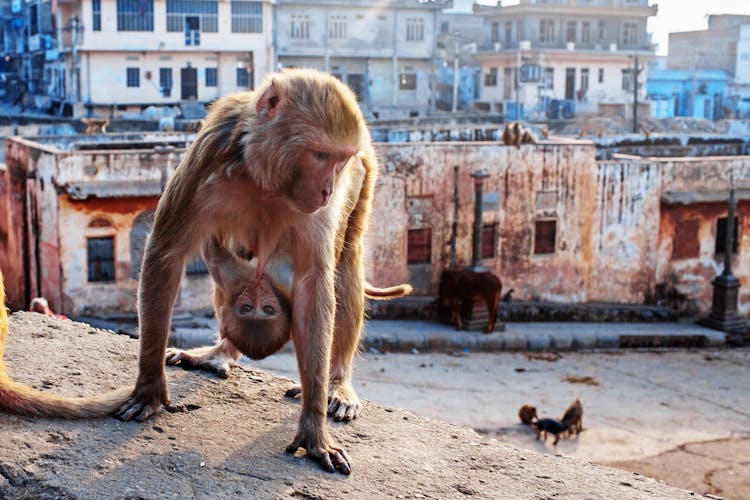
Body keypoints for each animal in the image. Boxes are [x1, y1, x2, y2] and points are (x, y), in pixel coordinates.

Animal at [117, 69, 384, 472]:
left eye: (339, 160)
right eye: (320, 155)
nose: (326, 189)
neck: (268, 178)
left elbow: (314, 286)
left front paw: (314, 430)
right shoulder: (210, 153)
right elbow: (166, 254)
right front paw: (149, 387)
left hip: (365, 173)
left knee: (346, 262)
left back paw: (337, 382)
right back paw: (221, 352)